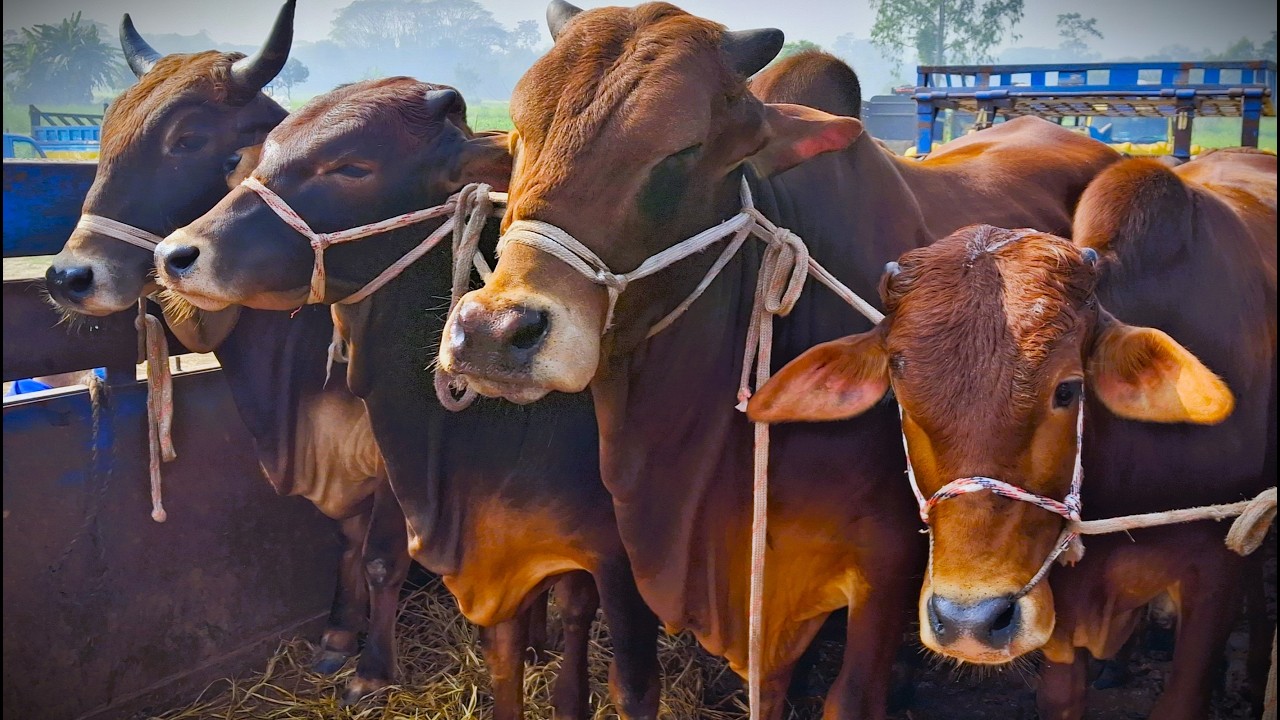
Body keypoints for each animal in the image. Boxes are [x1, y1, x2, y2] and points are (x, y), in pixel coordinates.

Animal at [38, 3, 412, 703]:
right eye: (104, 132)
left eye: (187, 139)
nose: (69, 277)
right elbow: (345, 541)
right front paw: (338, 636)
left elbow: (380, 557)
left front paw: (373, 669)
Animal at [151, 77, 662, 719]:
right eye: (262, 153)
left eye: (352, 167)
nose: (175, 255)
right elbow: (503, 653)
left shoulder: (620, 561)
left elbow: (626, 678)